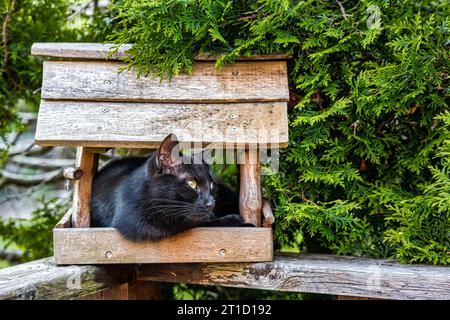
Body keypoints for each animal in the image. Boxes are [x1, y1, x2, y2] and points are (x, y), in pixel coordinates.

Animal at [91, 132, 251, 240]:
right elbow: (198, 224)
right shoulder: (142, 226)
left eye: (211, 185)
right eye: (191, 183)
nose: (211, 203)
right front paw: (238, 221)